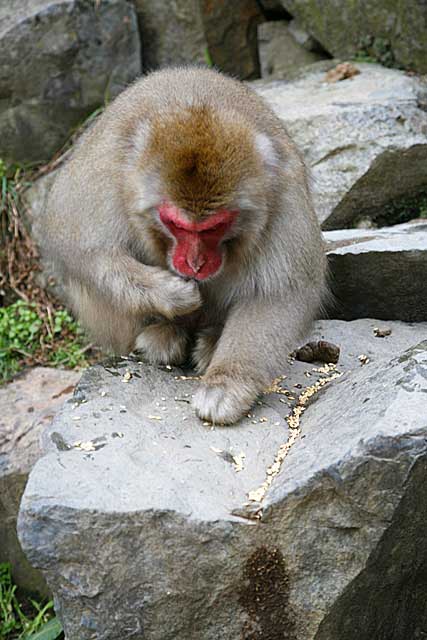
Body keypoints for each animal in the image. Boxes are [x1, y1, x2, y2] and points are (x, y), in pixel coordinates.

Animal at [40, 66, 328, 424]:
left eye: (215, 226)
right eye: (176, 224)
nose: (194, 263)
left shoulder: (283, 195)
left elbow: (280, 293)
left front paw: (227, 383)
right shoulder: (105, 174)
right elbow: (78, 247)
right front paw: (170, 293)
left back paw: (211, 339)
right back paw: (164, 333)